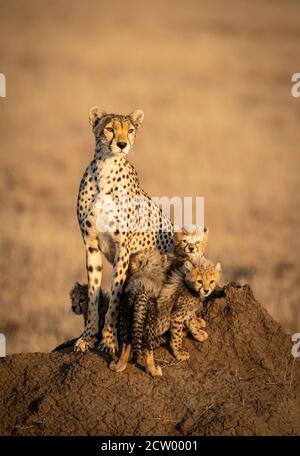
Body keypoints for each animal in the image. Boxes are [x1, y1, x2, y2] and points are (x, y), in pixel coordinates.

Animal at [75, 108, 173, 354]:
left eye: (130, 130)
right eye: (110, 128)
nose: (121, 144)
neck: (105, 169)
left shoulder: (123, 250)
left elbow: (115, 297)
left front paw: (109, 340)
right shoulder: (91, 246)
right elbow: (93, 294)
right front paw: (87, 338)